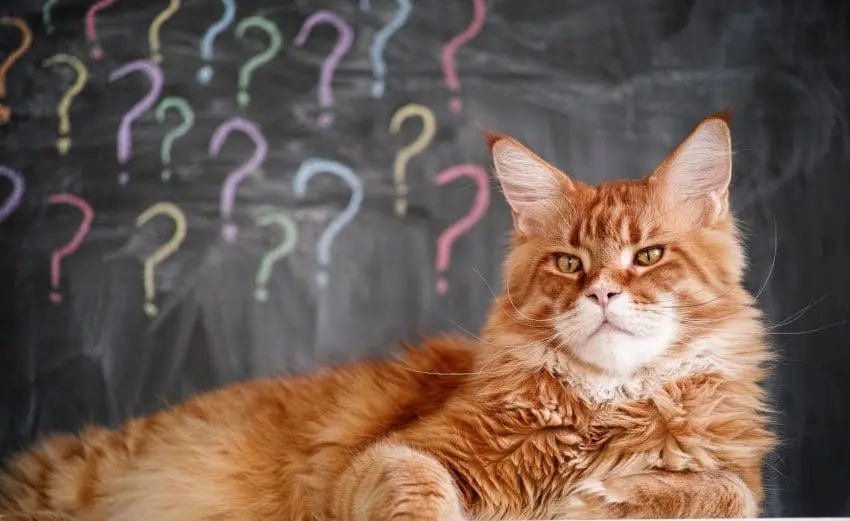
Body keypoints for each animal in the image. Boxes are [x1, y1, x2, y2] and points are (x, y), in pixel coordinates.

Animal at [0, 111, 776, 516]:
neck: (603, 406)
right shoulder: (395, 454)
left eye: (648, 256)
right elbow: (420, 488)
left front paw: (600, 495)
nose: (604, 294)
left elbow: (722, 489)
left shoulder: (743, 479)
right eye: (567, 263)